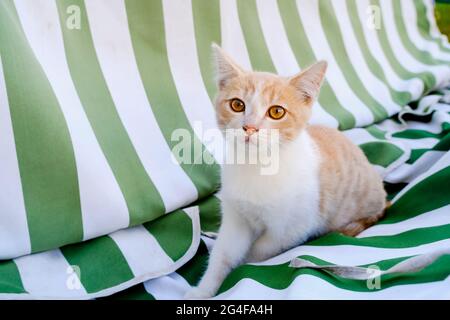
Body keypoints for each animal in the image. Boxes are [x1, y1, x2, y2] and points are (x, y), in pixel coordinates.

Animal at [185, 45, 384, 300]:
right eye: (237, 105)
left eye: (277, 112)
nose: (249, 127)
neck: (257, 166)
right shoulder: (236, 216)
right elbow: (224, 252)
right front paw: (203, 290)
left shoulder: (294, 227)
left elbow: (261, 250)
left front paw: (244, 264)